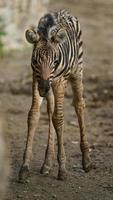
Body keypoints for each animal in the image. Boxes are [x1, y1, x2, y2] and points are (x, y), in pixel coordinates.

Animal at [19, 9, 92, 181]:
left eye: (55, 61)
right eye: (35, 61)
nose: (44, 88)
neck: (47, 32)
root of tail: (64, 10)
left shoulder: (58, 82)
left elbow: (58, 118)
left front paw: (62, 169)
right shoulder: (36, 79)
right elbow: (33, 115)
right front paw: (24, 167)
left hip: (77, 71)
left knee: (79, 105)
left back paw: (86, 161)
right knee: (51, 110)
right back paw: (47, 163)